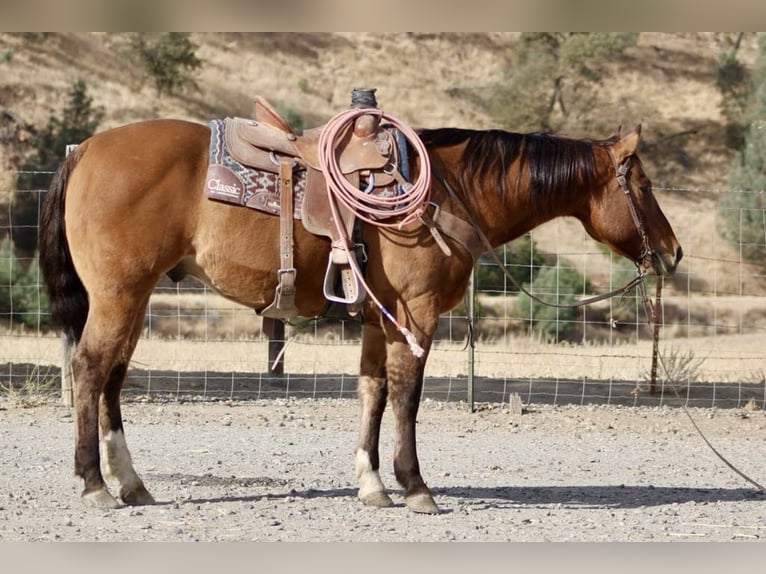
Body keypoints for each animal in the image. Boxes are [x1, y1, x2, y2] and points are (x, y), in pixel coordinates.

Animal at [40, 110, 684, 516]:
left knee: (112, 377)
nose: (673, 252)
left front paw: (371, 484)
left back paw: (131, 484)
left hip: (133, 296)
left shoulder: (380, 319)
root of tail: (86, 148)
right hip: (120, 294)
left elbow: (372, 391)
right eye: (645, 187)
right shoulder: (416, 316)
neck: (447, 192)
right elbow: (406, 396)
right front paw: (416, 486)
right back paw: (94, 485)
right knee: (92, 369)